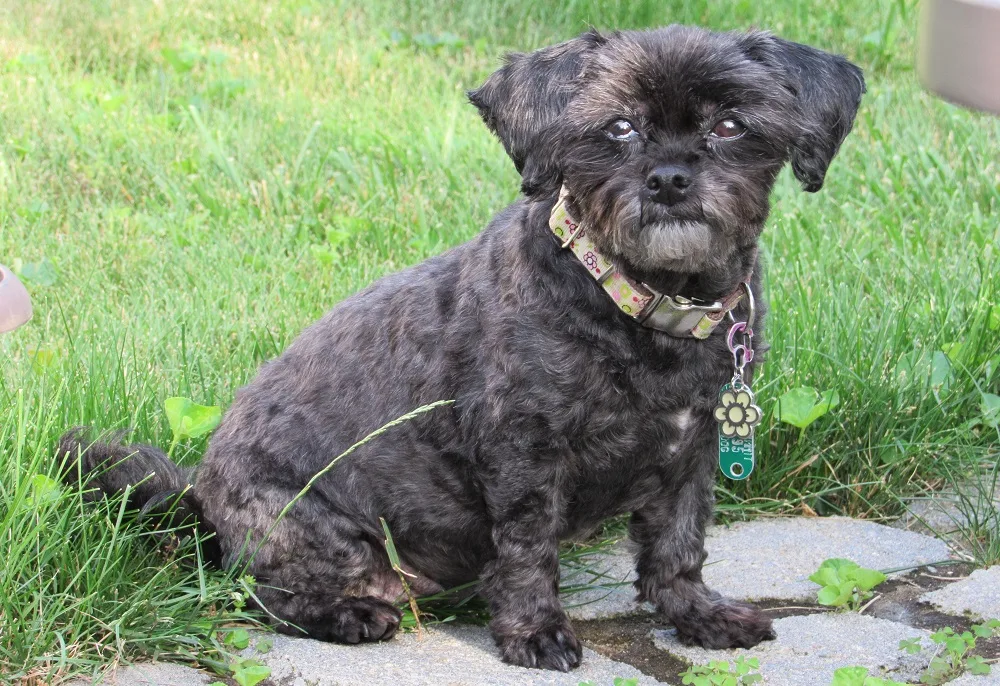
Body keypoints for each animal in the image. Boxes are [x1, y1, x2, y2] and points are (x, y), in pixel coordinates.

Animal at [58, 25, 864, 672]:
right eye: (619, 127)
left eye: (730, 124)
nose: (669, 178)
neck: (638, 304)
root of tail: (199, 499)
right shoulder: (522, 452)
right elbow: (530, 547)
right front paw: (535, 633)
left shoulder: (694, 450)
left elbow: (679, 544)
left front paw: (696, 615)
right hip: (317, 535)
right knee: (255, 591)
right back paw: (346, 613)